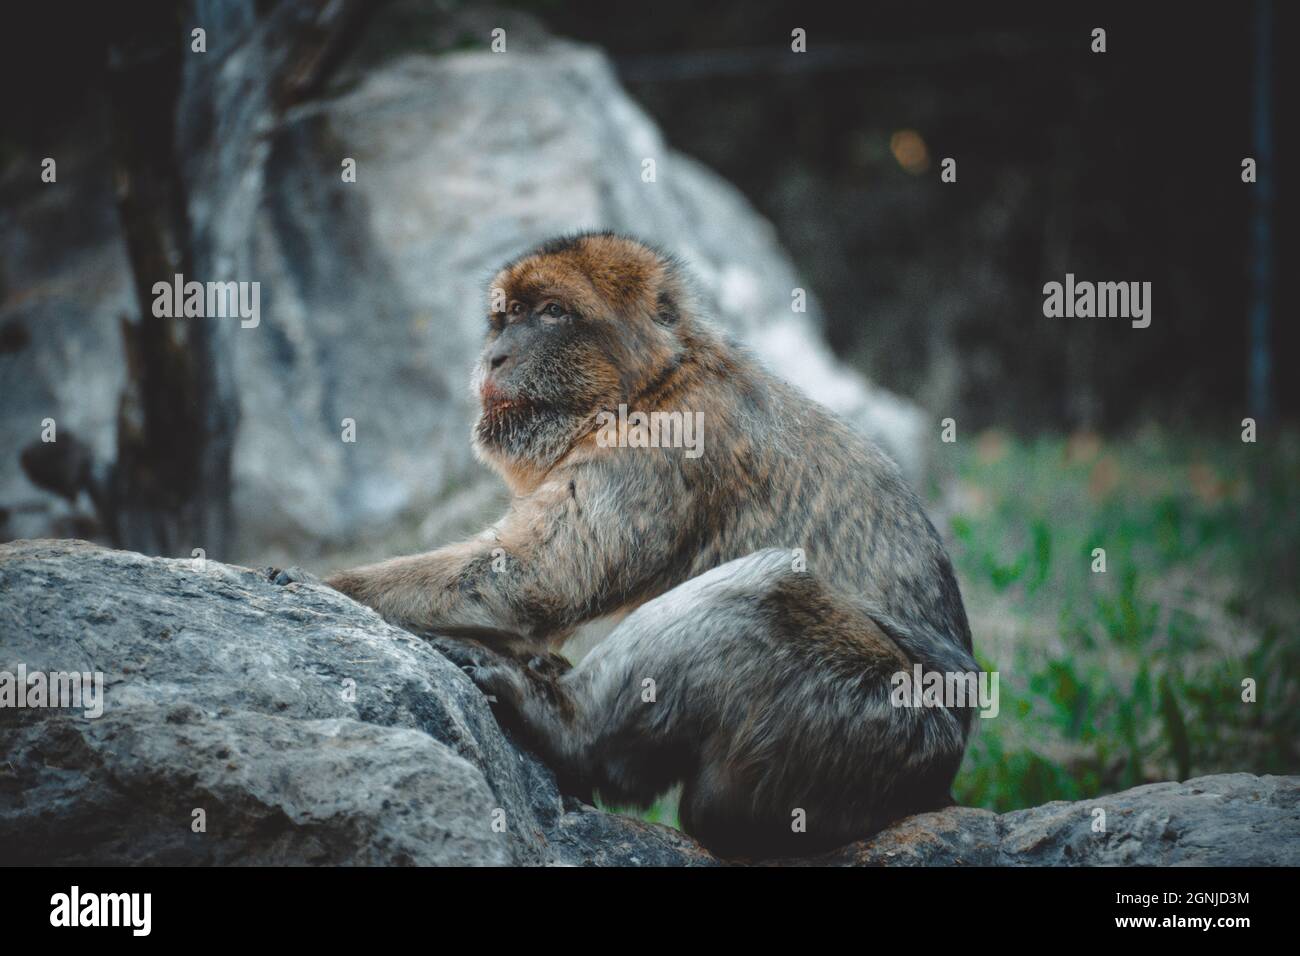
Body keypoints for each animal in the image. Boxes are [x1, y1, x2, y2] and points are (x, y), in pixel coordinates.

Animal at [304, 234, 977, 858]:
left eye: (552, 312)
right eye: (508, 315)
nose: (494, 356)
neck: (652, 385)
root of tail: (937, 780)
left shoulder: (657, 449)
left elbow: (531, 576)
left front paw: (317, 585)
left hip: (867, 726)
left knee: (767, 590)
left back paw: (566, 725)